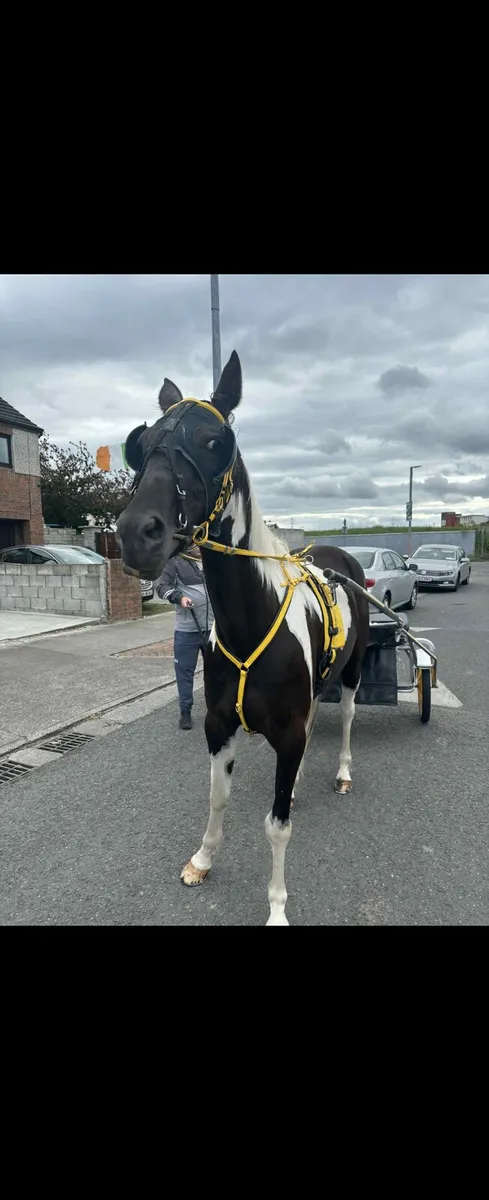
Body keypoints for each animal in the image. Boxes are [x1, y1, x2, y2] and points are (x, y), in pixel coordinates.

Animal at [116, 351, 369, 926]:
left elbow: (276, 827)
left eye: (214, 442)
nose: (137, 533)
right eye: (142, 443)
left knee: (345, 715)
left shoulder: (287, 731)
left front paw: (276, 906)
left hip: (352, 669)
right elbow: (218, 798)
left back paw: (343, 772)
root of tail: (341, 560)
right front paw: (203, 859)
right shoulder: (218, 724)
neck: (253, 618)